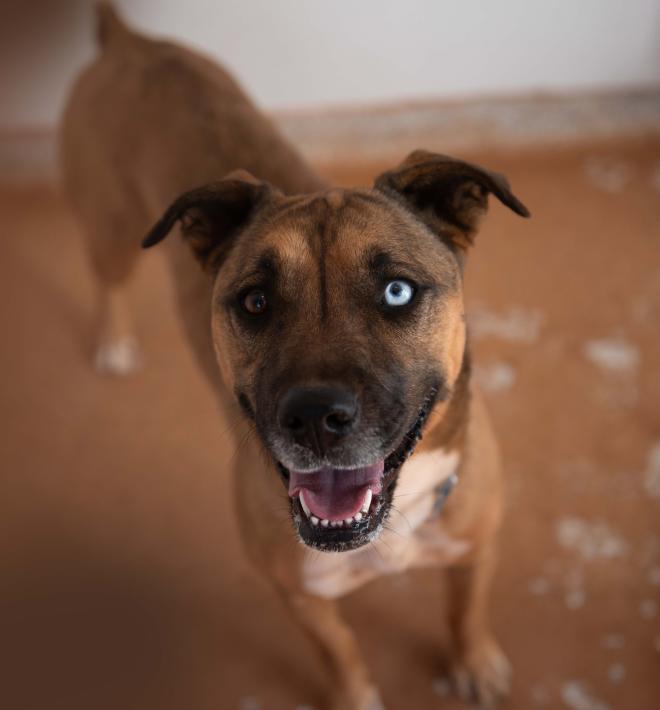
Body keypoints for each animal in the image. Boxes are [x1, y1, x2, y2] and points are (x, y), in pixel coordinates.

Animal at [59, 4, 528, 708]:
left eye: (397, 291)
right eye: (255, 302)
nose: (313, 418)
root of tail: (130, 41)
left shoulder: (477, 546)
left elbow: (465, 610)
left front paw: (474, 663)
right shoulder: (299, 596)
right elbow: (342, 655)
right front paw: (358, 696)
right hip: (112, 226)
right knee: (108, 277)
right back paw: (114, 340)